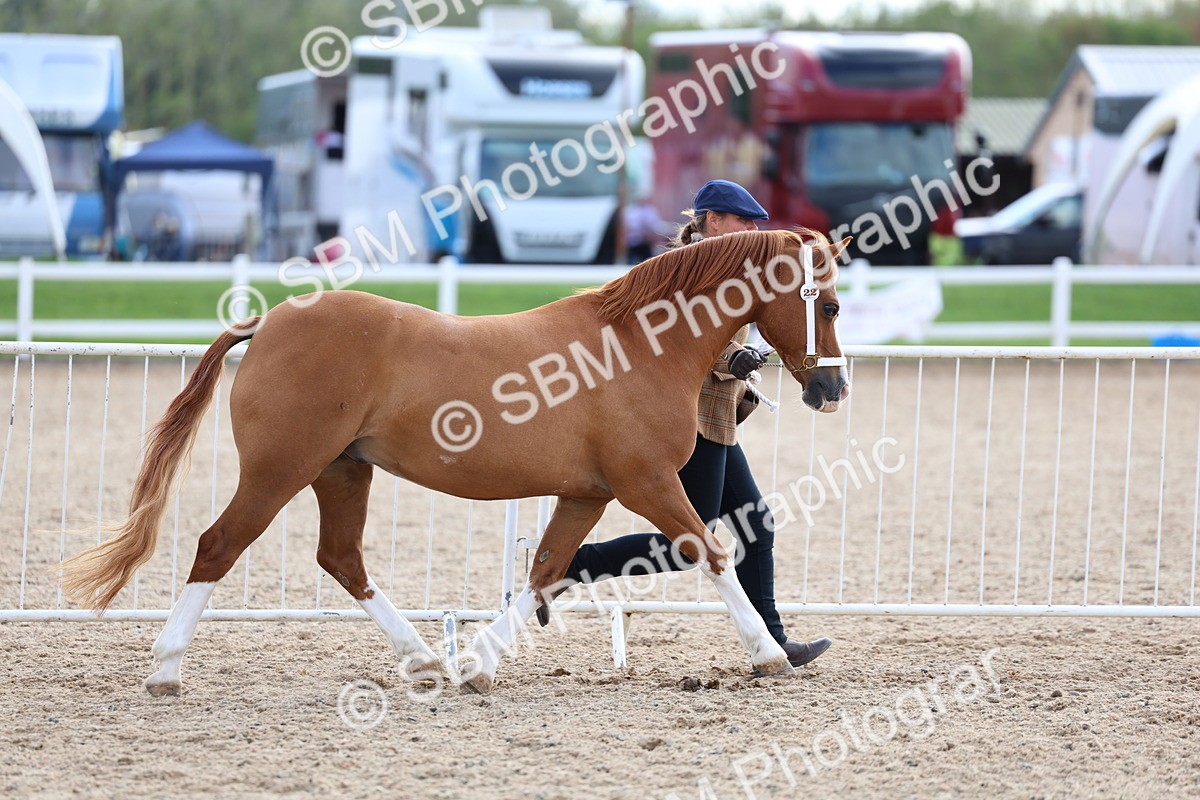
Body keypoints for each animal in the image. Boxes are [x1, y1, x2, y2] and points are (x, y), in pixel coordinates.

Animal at [59, 228, 851, 696]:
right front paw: (768, 653)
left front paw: (476, 664)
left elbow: (545, 572)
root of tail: (271, 321)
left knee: (341, 559)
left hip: (341, 471)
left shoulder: (590, 493)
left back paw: (425, 660)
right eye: (831, 305)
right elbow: (714, 554)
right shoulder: (648, 483)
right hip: (279, 471)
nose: (832, 390)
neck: (638, 344)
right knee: (218, 545)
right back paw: (165, 669)